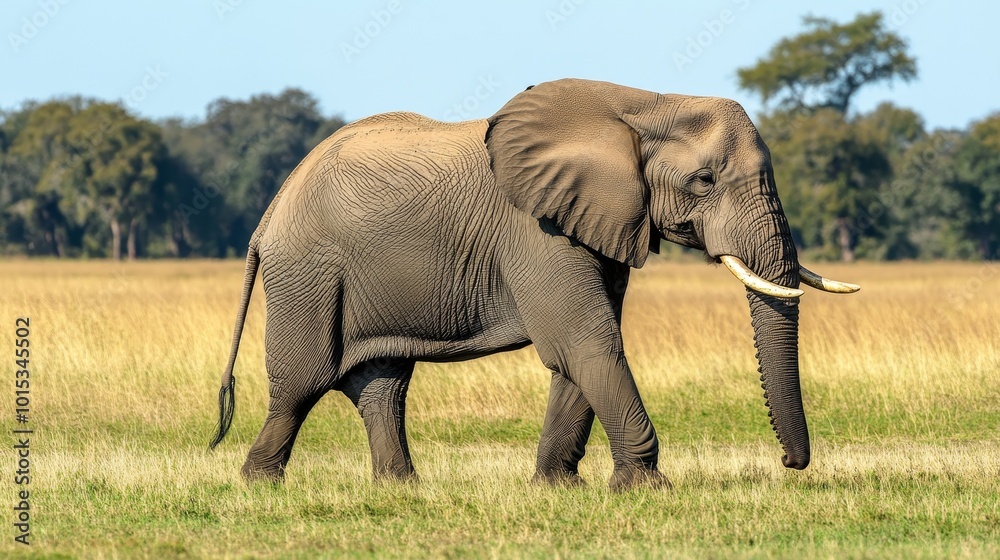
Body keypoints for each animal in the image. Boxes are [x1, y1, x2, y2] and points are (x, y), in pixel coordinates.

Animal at [208, 78, 859, 491]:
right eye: (703, 181)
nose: (789, 463)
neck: (645, 103)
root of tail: (270, 212)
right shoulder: (538, 229)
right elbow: (586, 340)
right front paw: (648, 489)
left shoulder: (596, 220)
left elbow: (583, 349)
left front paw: (557, 488)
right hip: (309, 271)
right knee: (303, 383)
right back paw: (258, 484)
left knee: (381, 384)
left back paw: (401, 489)